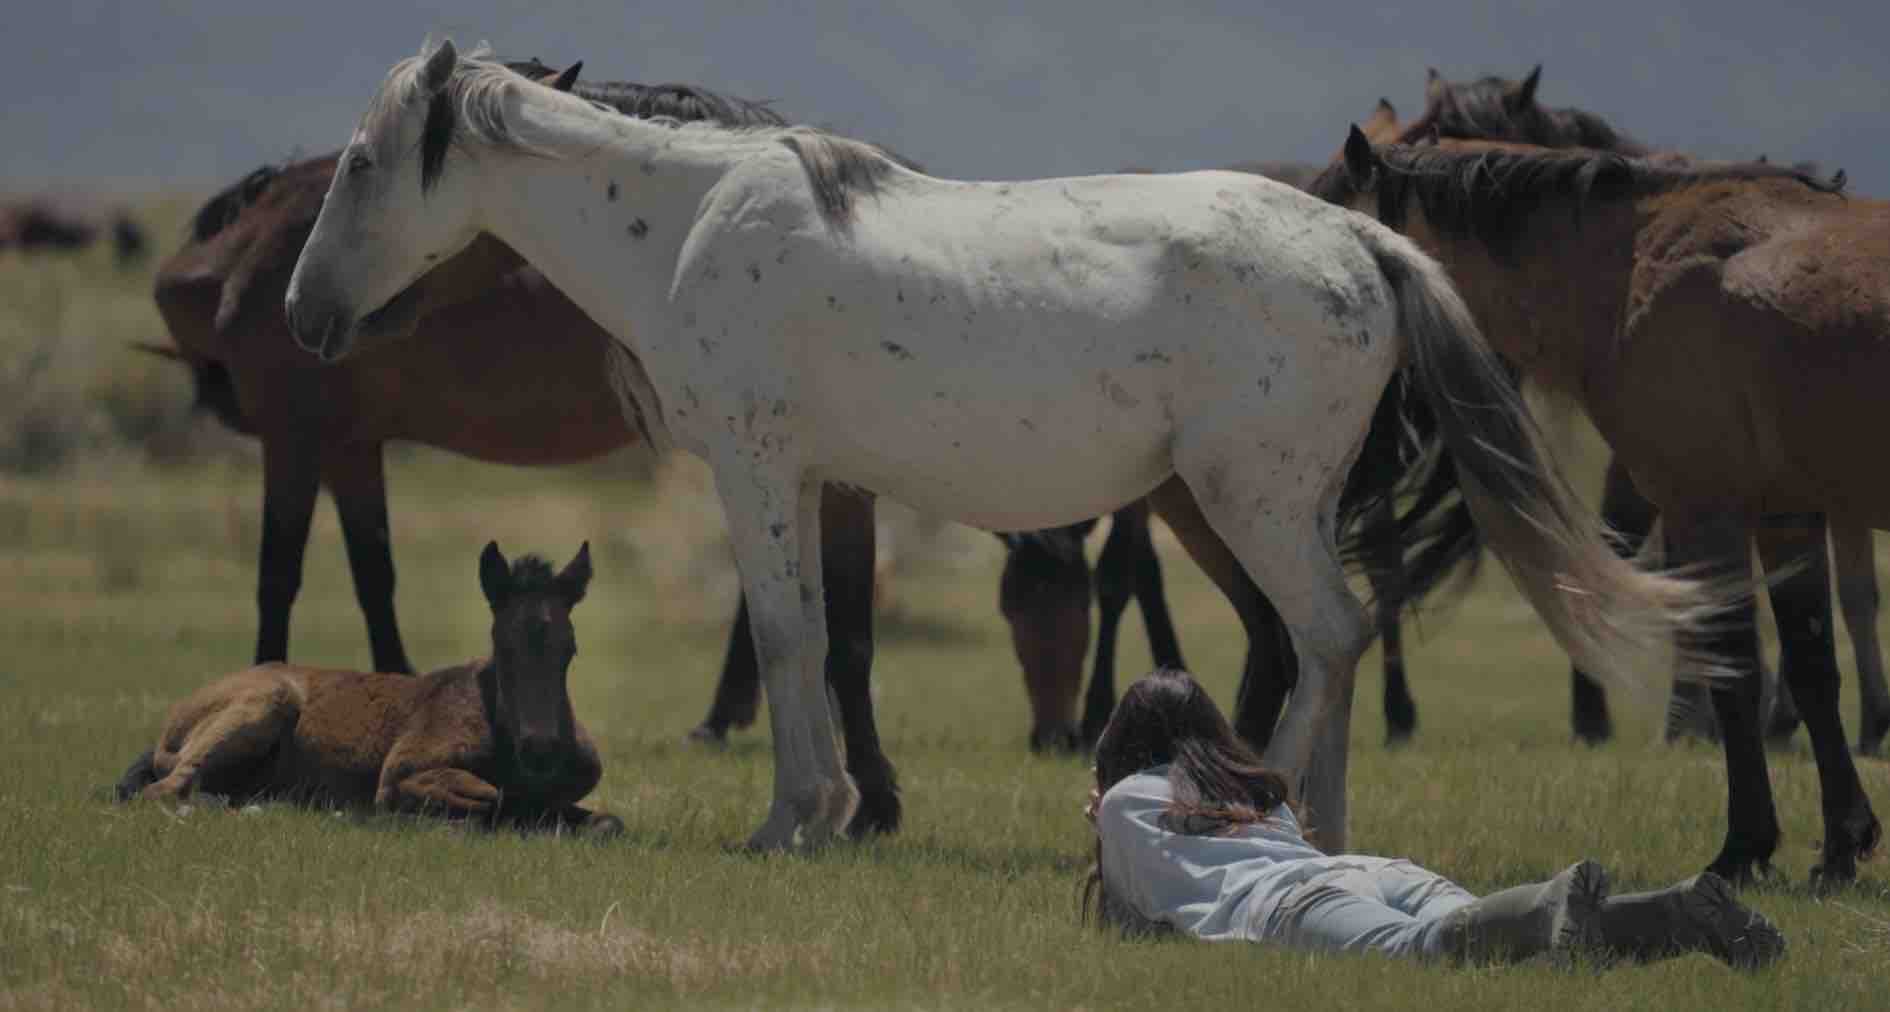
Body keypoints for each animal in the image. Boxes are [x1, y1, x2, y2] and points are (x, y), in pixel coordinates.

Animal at [115, 541, 623, 836]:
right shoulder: (399, 773)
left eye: (569, 648)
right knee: (167, 788)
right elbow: (486, 800)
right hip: (263, 703)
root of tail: (167, 729)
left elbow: (606, 822)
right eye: (501, 644)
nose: (541, 748)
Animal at [285, 42, 1720, 850]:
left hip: (1246, 503)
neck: (689, 218)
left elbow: (792, 638)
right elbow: (821, 638)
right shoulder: (815, 482)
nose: (303, 315)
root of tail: (1364, 240)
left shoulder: (757, 469)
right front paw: (838, 809)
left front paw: (790, 819)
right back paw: (1323, 823)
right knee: (1334, 642)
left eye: (358, 164)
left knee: (1326, 633)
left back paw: (1276, 809)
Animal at [1316, 129, 1884, 885]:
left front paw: (1743, 847)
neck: (1634, 262)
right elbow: (1813, 666)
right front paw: (1842, 843)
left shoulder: (1705, 507)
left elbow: (1734, 669)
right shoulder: (1785, 514)